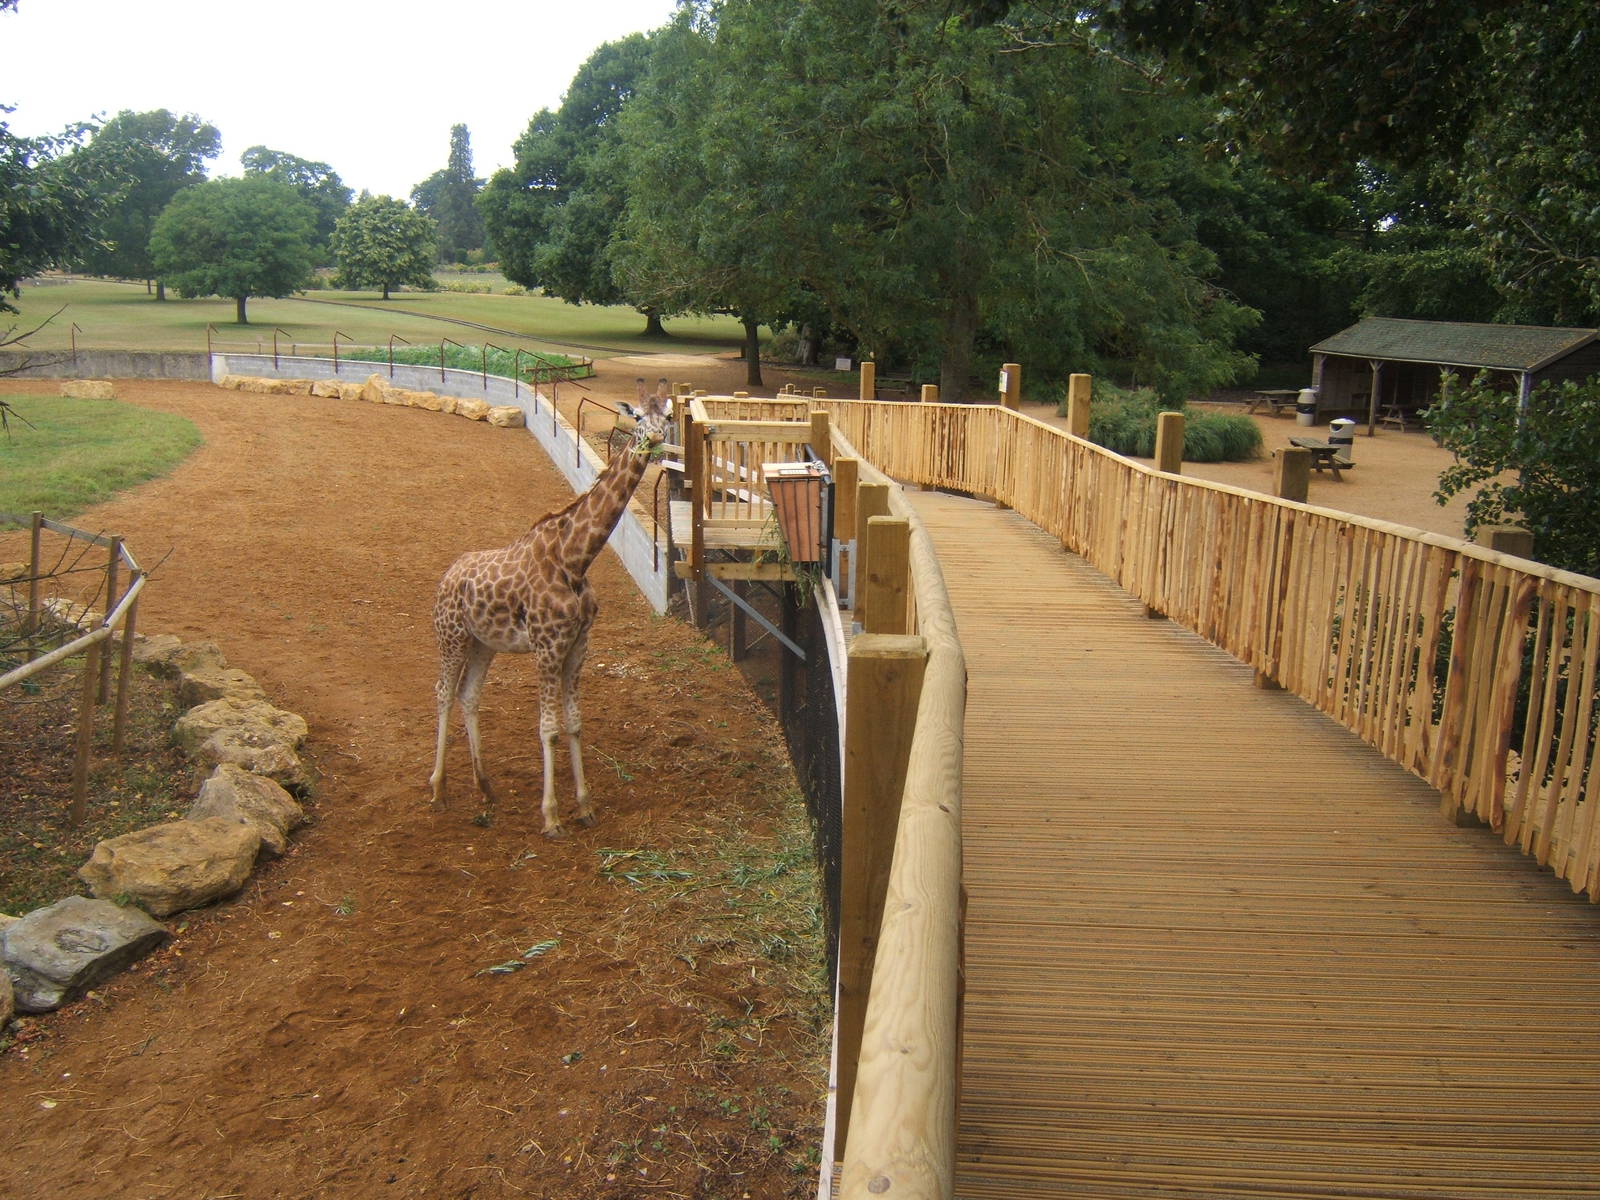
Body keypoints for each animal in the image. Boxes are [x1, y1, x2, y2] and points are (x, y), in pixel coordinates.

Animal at [429, 381, 669, 837]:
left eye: (667, 416)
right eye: (636, 416)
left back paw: (485, 788)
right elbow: (548, 730)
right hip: (450, 636)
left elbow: (574, 723)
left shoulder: (578, 646)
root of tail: (447, 576)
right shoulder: (546, 648)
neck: (574, 559)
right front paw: (552, 816)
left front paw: (586, 807)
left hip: (483, 642)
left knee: (469, 695)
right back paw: (437, 790)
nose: (655, 439)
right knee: (444, 694)